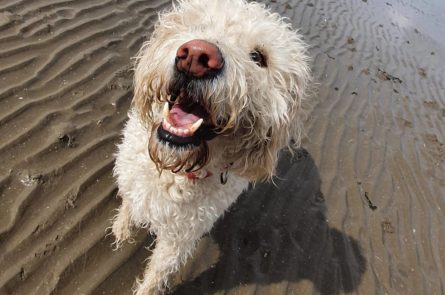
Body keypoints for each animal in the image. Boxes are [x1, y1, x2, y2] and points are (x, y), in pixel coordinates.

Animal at [111, 0, 310, 294]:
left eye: (259, 57)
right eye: (197, 25)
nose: (196, 56)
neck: (175, 168)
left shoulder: (180, 237)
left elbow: (157, 273)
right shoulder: (131, 181)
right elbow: (127, 205)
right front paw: (121, 233)